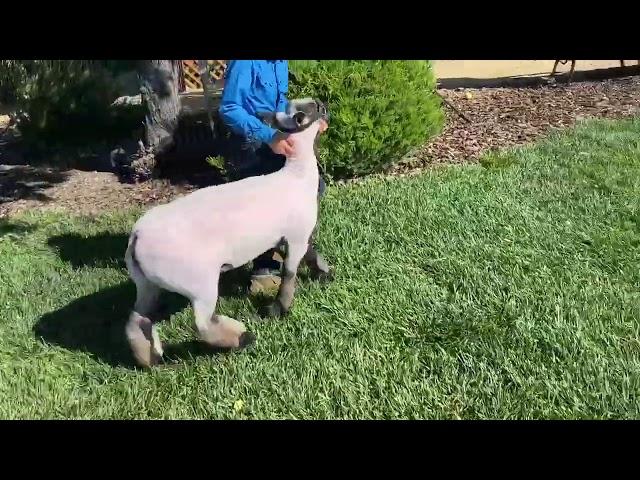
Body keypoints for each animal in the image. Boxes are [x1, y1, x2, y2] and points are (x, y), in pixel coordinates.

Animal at [122, 97, 330, 368]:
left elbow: (311, 253)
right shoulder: (296, 235)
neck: (296, 175)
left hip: (147, 281)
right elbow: (290, 273)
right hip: (198, 282)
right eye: (309, 111)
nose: (324, 106)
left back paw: (149, 358)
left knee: (137, 318)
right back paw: (243, 338)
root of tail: (137, 237)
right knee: (201, 323)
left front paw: (325, 274)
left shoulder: (293, 236)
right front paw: (279, 309)